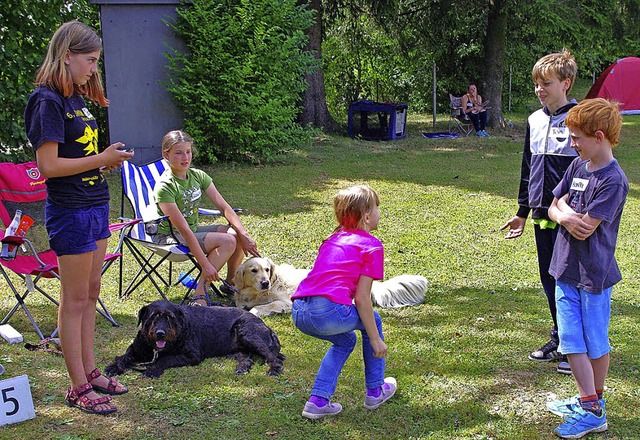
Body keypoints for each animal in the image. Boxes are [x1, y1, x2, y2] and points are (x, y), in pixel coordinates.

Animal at [105, 300, 284, 378]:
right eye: (153, 317)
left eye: (169, 318)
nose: (160, 333)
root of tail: (266, 327)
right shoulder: (136, 348)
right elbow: (124, 356)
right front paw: (114, 366)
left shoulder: (191, 355)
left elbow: (165, 359)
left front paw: (152, 369)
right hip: (234, 350)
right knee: (248, 359)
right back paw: (242, 368)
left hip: (249, 335)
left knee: (273, 358)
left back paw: (274, 369)